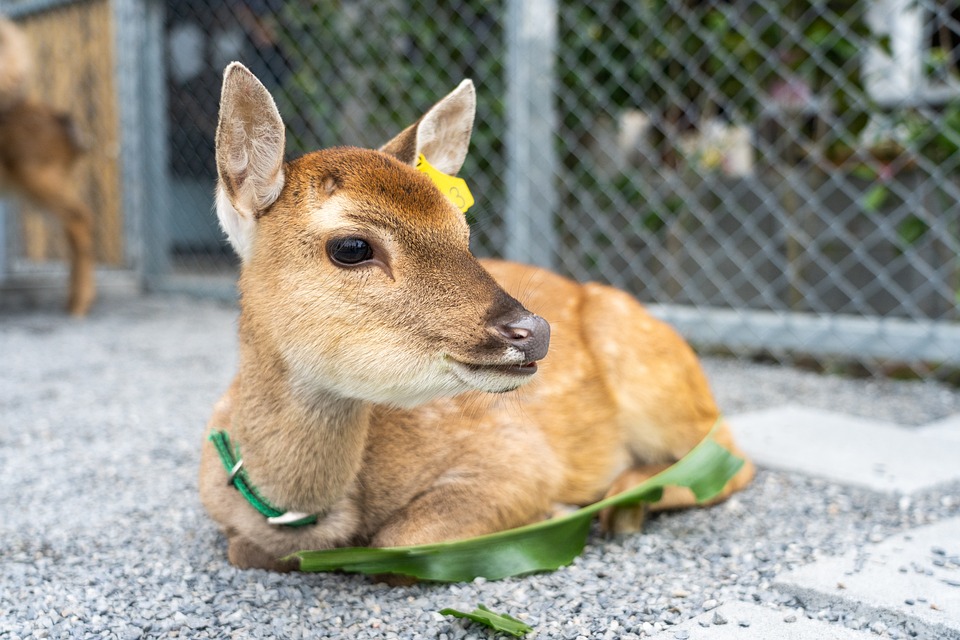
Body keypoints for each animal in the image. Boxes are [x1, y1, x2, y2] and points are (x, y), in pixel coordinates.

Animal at [199, 62, 755, 574]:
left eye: (463, 234)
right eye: (352, 247)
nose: (534, 331)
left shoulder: (515, 458)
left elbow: (401, 539)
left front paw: (556, 510)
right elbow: (241, 549)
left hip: (656, 380)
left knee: (729, 456)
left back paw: (622, 504)